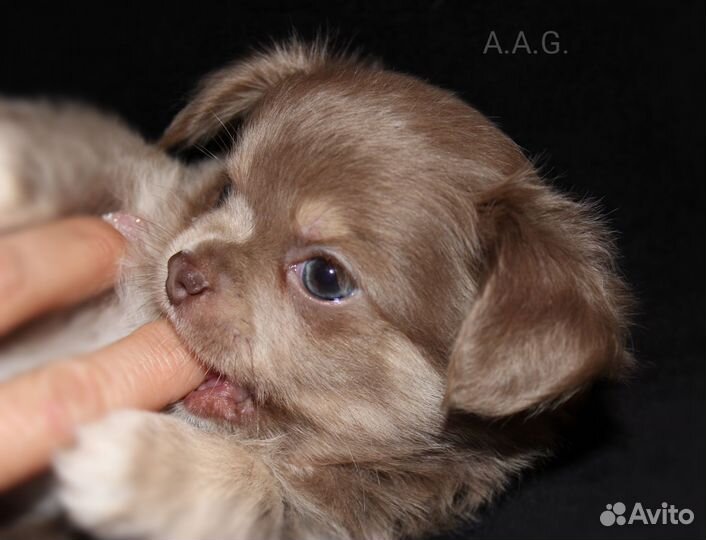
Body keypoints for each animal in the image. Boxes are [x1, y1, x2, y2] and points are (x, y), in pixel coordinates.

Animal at [0, 42, 628, 540]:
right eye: (224, 191)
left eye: (325, 278)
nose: (180, 271)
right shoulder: (140, 189)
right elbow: (91, 159)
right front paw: (12, 165)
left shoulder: (331, 515)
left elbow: (257, 489)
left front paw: (141, 463)